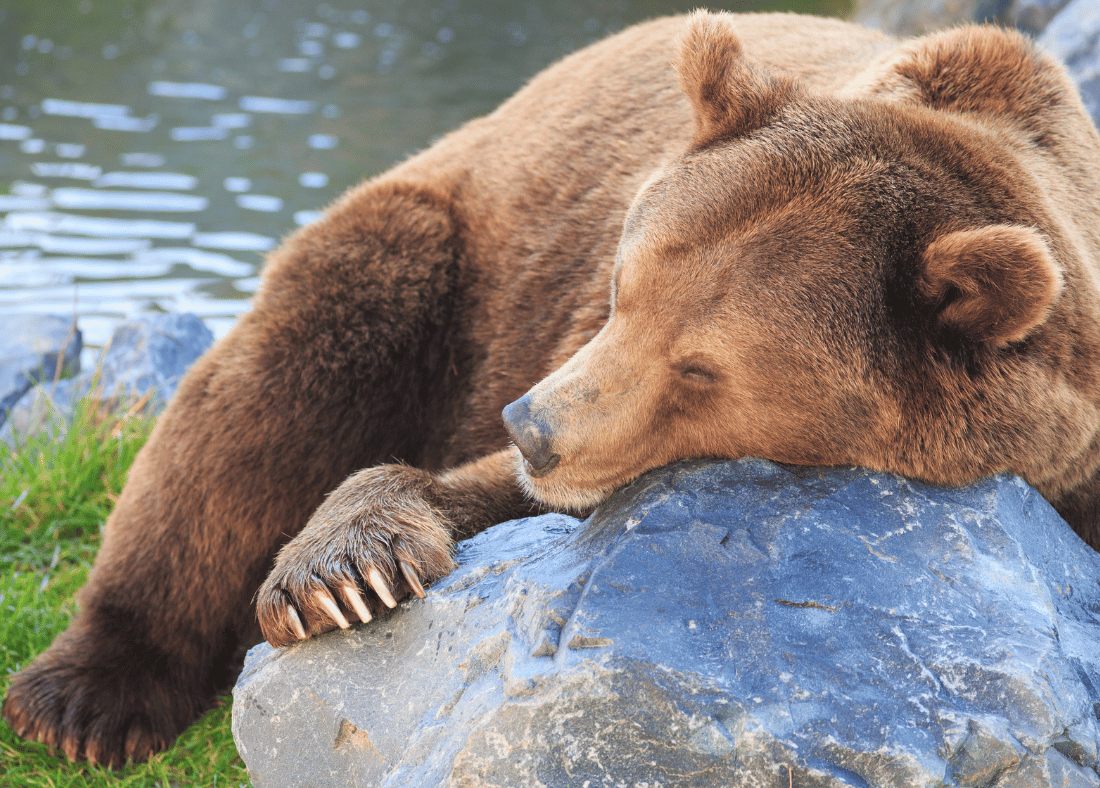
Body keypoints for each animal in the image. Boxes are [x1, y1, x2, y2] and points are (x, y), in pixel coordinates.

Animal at [6, 9, 1100, 769]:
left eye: (702, 366)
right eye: (624, 282)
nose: (532, 427)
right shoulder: (554, 337)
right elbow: (457, 488)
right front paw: (344, 573)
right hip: (440, 257)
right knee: (256, 399)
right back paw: (85, 696)